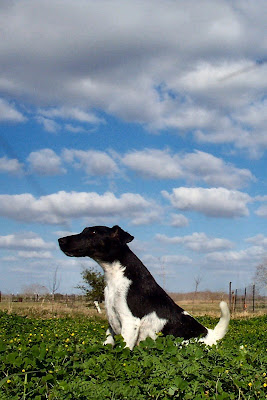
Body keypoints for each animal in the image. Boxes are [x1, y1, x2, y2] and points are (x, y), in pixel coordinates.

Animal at [58, 225, 230, 350]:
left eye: (93, 232)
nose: (60, 240)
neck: (116, 276)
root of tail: (211, 336)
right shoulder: (111, 325)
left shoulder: (130, 322)